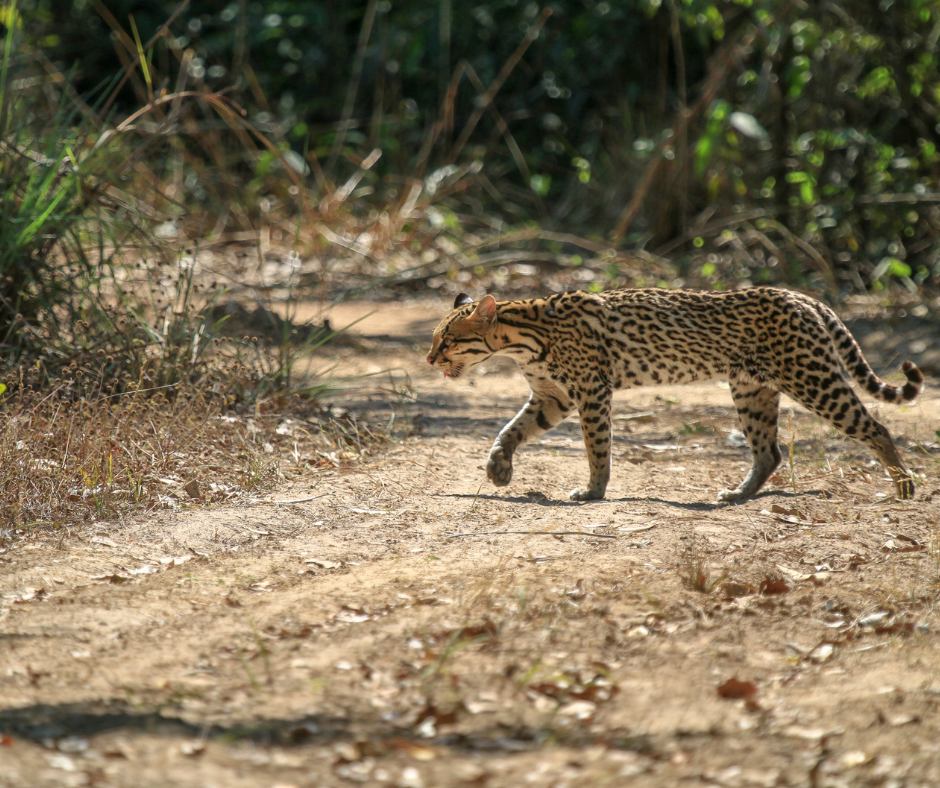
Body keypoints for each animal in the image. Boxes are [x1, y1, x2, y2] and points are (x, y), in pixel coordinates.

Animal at [428, 286, 924, 502]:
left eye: (448, 340)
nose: (430, 359)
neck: (521, 337)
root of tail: (804, 297)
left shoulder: (591, 391)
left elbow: (597, 447)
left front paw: (593, 490)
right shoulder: (553, 397)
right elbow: (510, 429)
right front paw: (498, 468)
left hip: (812, 379)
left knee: (876, 428)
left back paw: (904, 486)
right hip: (752, 390)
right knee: (770, 452)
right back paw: (739, 494)